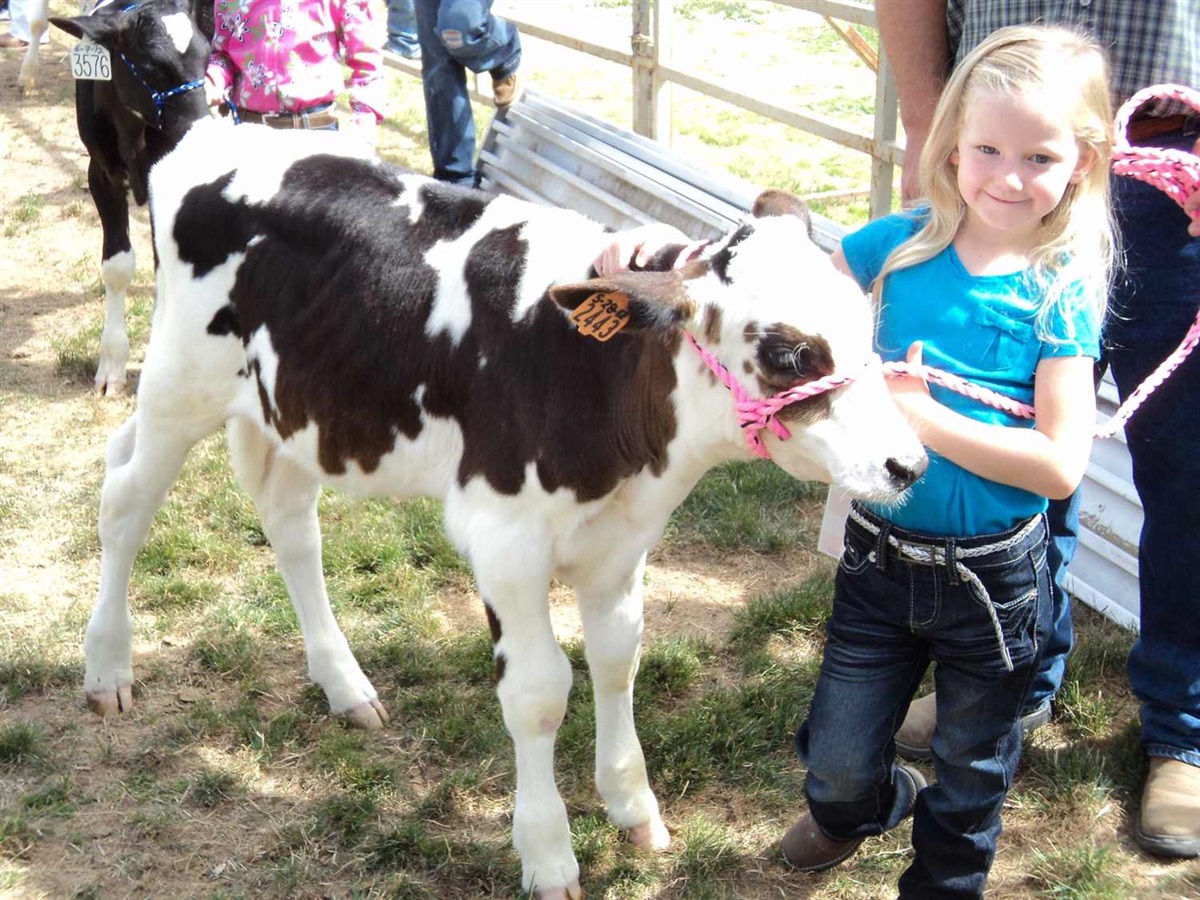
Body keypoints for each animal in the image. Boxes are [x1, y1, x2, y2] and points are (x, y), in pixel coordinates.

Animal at [51, 0, 213, 393]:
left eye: (207, 56)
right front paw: (111, 364)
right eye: (152, 66)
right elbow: (117, 266)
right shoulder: (100, 174)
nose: (203, 129)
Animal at [87, 121, 926, 900]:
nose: (909, 463)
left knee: (289, 523)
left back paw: (344, 685)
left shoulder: (622, 539)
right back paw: (107, 667)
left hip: (290, 408)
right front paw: (549, 854)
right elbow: (539, 691)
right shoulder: (504, 539)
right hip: (181, 382)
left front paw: (632, 806)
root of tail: (214, 132)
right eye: (788, 353)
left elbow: (617, 656)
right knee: (127, 496)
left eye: (867, 324)